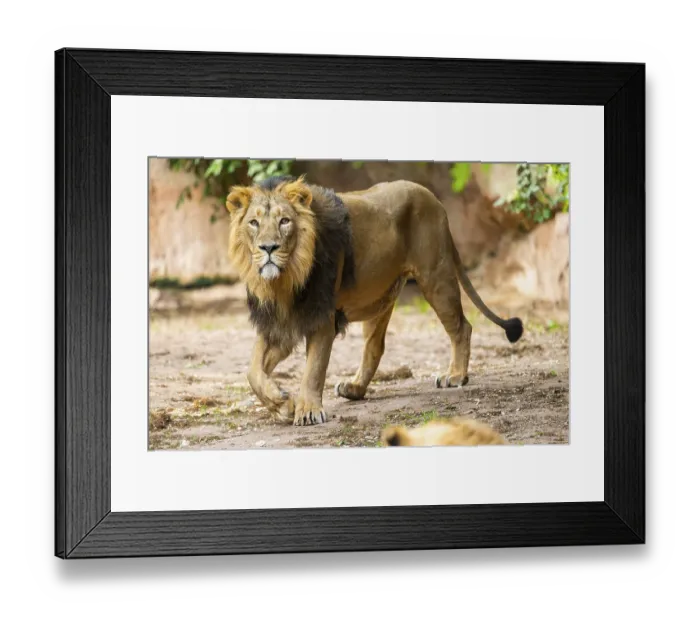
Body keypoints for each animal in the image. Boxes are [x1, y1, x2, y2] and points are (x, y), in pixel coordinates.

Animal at [225, 175, 523, 427]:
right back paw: (354, 388)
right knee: (375, 346)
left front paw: (308, 411)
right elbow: (253, 372)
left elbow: (313, 369)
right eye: (254, 223)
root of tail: (433, 198)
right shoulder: (279, 320)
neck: (284, 282)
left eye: (285, 221)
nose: (268, 248)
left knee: (462, 327)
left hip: (436, 277)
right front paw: (282, 404)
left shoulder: (322, 316)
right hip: (380, 298)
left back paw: (456, 375)